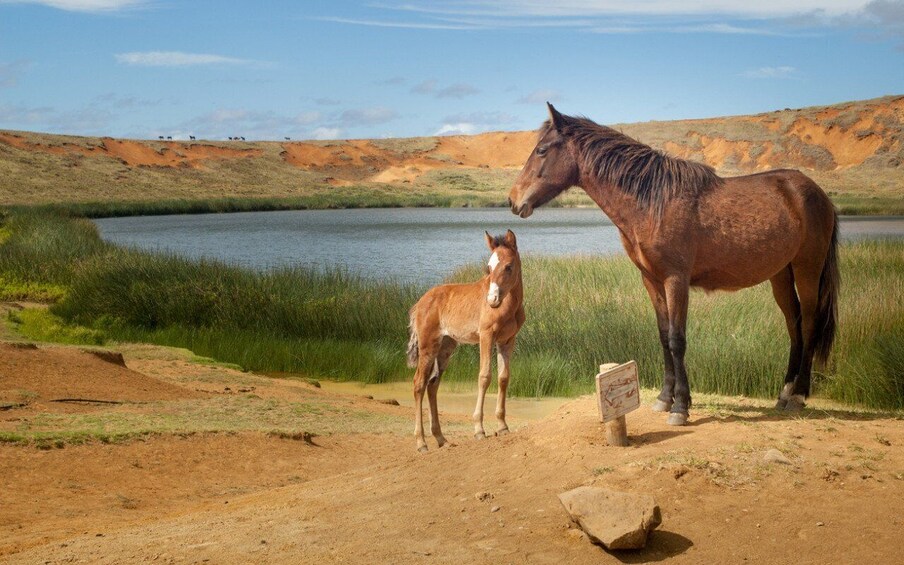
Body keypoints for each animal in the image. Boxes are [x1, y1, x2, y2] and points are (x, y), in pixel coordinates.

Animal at [408, 228, 528, 450]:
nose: (492, 300)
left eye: (508, 266)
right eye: (488, 267)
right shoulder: (486, 336)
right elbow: (484, 376)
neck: (509, 305)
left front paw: (502, 426)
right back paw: (421, 443)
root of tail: (419, 303)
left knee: (432, 384)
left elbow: (504, 377)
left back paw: (441, 439)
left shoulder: (507, 340)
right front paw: (479, 429)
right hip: (427, 345)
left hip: (446, 347)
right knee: (419, 383)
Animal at [508, 104, 840, 424]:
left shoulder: (675, 280)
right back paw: (784, 393)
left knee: (809, 323)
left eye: (541, 150)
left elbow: (677, 339)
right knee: (793, 325)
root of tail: (816, 193)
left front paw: (680, 406)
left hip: (807, 269)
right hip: (781, 275)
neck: (654, 202)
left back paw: (799, 396)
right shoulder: (652, 280)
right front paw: (665, 398)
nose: (513, 200)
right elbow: (663, 336)